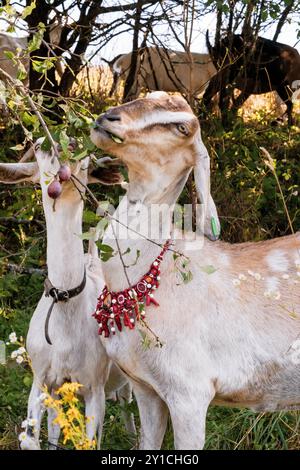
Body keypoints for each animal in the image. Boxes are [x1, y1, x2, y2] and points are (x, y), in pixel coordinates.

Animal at [0, 141, 135, 450]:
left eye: (86, 162)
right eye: (39, 150)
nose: (62, 146)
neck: (65, 302)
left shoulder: (94, 387)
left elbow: (89, 440)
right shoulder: (42, 380)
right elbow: (33, 438)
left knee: (130, 404)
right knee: (54, 425)